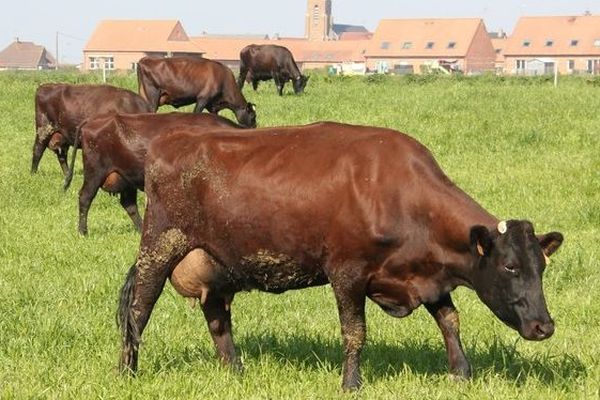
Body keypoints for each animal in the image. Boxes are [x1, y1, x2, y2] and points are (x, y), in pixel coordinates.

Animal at [63, 111, 244, 236]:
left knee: (129, 204)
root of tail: (94, 119)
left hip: (126, 177)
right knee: (85, 197)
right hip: (95, 172)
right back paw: (83, 231)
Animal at [117, 122, 564, 390]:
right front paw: (351, 383)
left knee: (217, 318)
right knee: (138, 311)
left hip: (217, 263)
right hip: (159, 246)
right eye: (510, 266)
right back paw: (127, 370)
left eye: (541, 266)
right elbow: (355, 333)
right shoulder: (347, 272)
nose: (544, 326)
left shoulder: (428, 276)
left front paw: (461, 373)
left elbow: (450, 320)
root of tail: (172, 139)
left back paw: (236, 371)